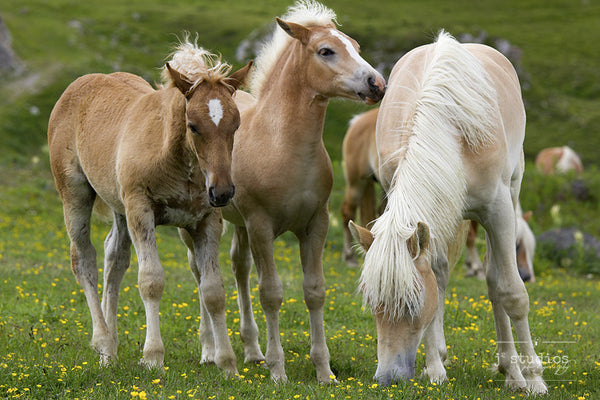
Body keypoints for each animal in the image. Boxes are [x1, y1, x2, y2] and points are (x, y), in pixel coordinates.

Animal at [47, 39, 251, 374]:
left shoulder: (207, 220)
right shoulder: (140, 209)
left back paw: (110, 351)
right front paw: (153, 356)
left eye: (236, 125)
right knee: (84, 259)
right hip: (75, 194)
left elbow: (213, 291)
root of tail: (80, 84)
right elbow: (151, 280)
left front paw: (227, 365)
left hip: (119, 206)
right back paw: (103, 342)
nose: (222, 192)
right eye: (193, 126)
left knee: (114, 258)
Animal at [183, 0, 384, 384]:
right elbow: (271, 293)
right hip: (205, 223)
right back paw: (209, 351)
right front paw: (278, 371)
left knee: (239, 266)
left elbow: (314, 291)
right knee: (201, 274)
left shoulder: (315, 224)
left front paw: (324, 371)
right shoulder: (261, 225)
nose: (377, 83)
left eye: (356, 46)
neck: (283, 146)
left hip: (239, 225)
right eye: (326, 51)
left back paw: (252, 350)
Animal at [346, 32, 548, 394]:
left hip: (510, 195)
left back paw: (513, 372)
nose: (387, 379)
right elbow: (436, 282)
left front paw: (534, 379)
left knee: (494, 281)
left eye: (412, 304)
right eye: (372, 303)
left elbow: (512, 293)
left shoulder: (498, 211)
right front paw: (435, 369)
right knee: (447, 274)